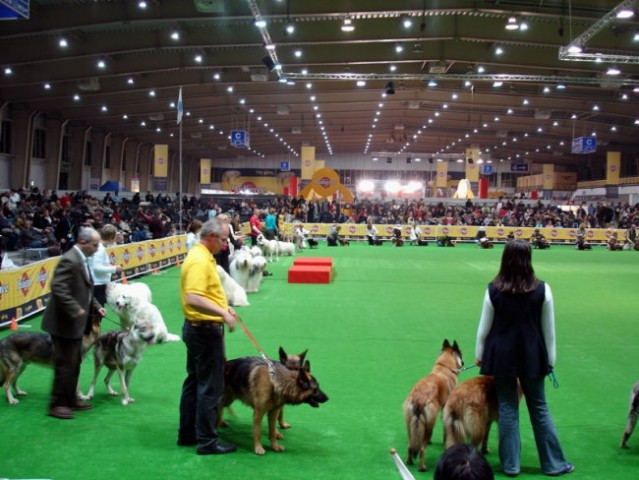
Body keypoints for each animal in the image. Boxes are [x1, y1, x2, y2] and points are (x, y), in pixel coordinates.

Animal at [402, 340, 462, 470]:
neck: (444, 367)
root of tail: (419, 398)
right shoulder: (445, 409)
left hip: (410, 425)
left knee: (410, 445)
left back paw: (409, 462)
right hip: (429, 424)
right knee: (422, 448)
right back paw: (422, 467)